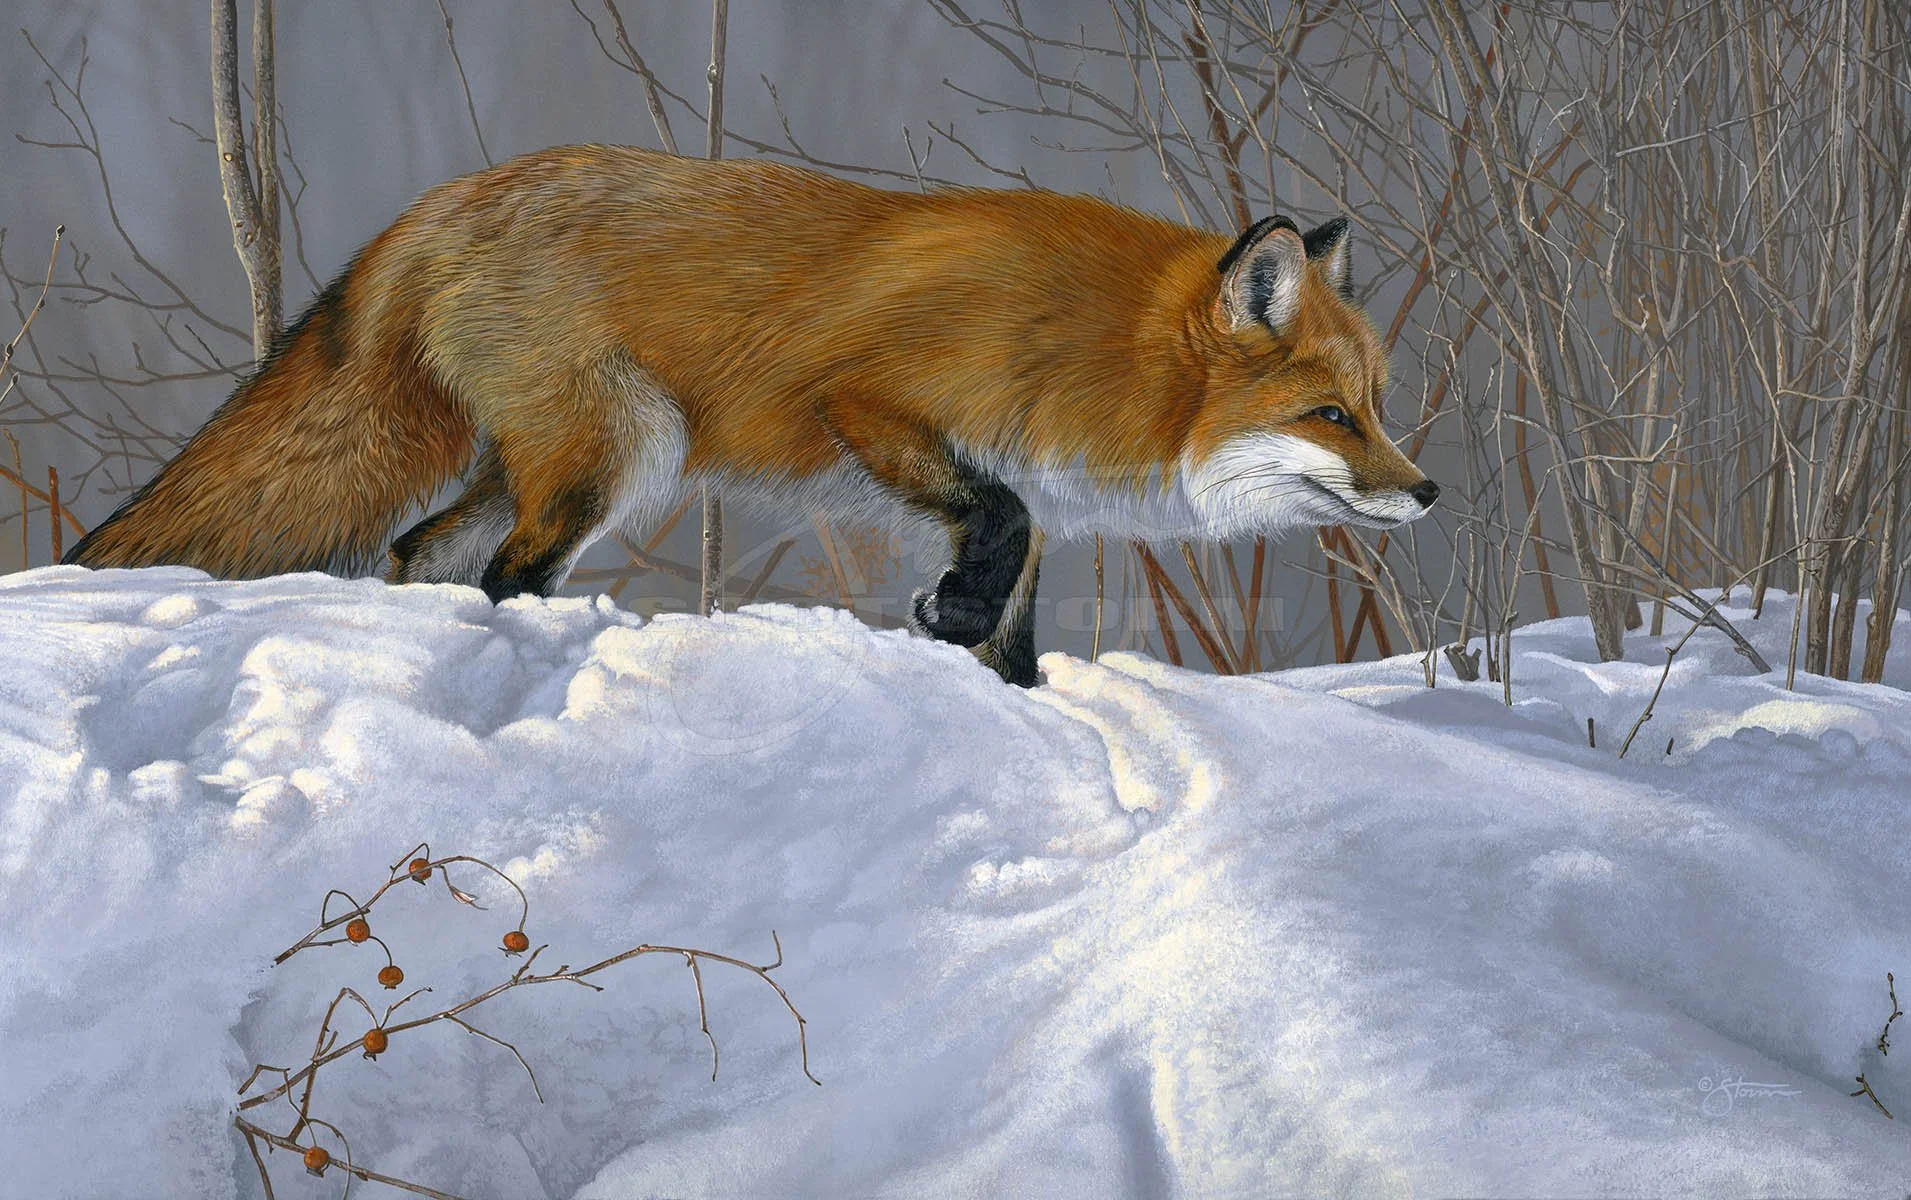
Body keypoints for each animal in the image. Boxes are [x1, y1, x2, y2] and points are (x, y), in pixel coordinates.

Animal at [64, 144, 1438, 686]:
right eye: (1330, 415)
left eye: (1377, 407)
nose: (1425, 492)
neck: (1095, 344)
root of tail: (441, 203)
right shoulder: (869, 402)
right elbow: (990, 527)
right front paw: (947, 617)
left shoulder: (1031, 491)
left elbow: (1018, 627)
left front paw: (1003, 686)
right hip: (624, 453)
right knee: (509, 575)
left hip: (539, 462)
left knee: (418, 551)